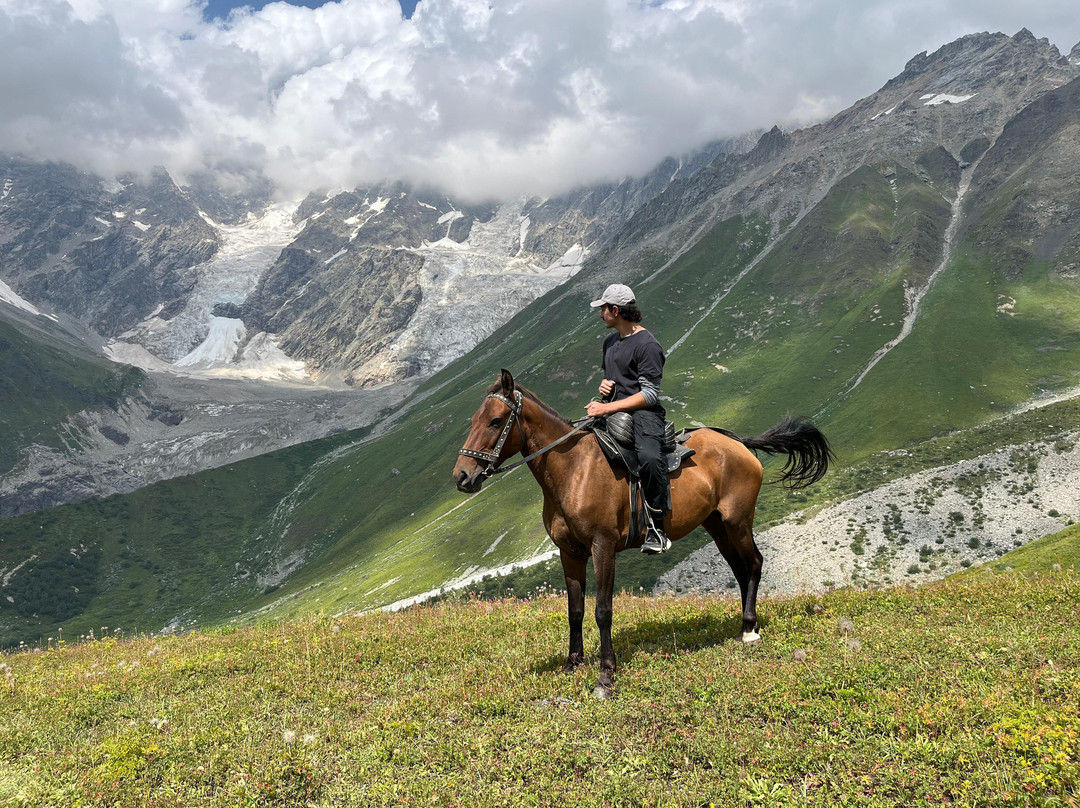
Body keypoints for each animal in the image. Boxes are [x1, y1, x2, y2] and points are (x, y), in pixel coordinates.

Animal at [452, 369, 833, 699]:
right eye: (472, 420)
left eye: (496, 421)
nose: (462, 477)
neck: (573, 469)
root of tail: (737, 442)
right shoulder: (569, 552)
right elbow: (575, 610)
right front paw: (572, 664)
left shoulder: (603, 547)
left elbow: (602, 611)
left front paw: (606, 675)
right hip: (717, 526)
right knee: (741, 570)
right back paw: (742, 625)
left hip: (738, 522)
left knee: (754, 563)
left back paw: (751, 630)